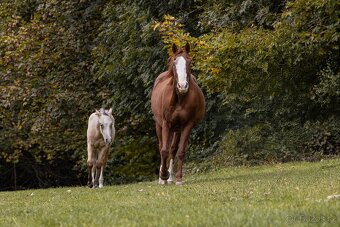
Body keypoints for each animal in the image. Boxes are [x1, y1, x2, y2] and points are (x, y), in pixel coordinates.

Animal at [151, 43, 205, 185]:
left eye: (189, 62)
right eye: (174, 62)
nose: (182, 86)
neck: (180, 99)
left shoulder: (187, 125)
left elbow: (180, 151)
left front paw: (178, 178)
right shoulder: (166, 123)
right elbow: (164, 150)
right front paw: (163, 175)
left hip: (177, 129)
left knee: (173, 149)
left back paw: (170, 178)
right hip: (160, 125)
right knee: (162, 147)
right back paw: (162, 179)